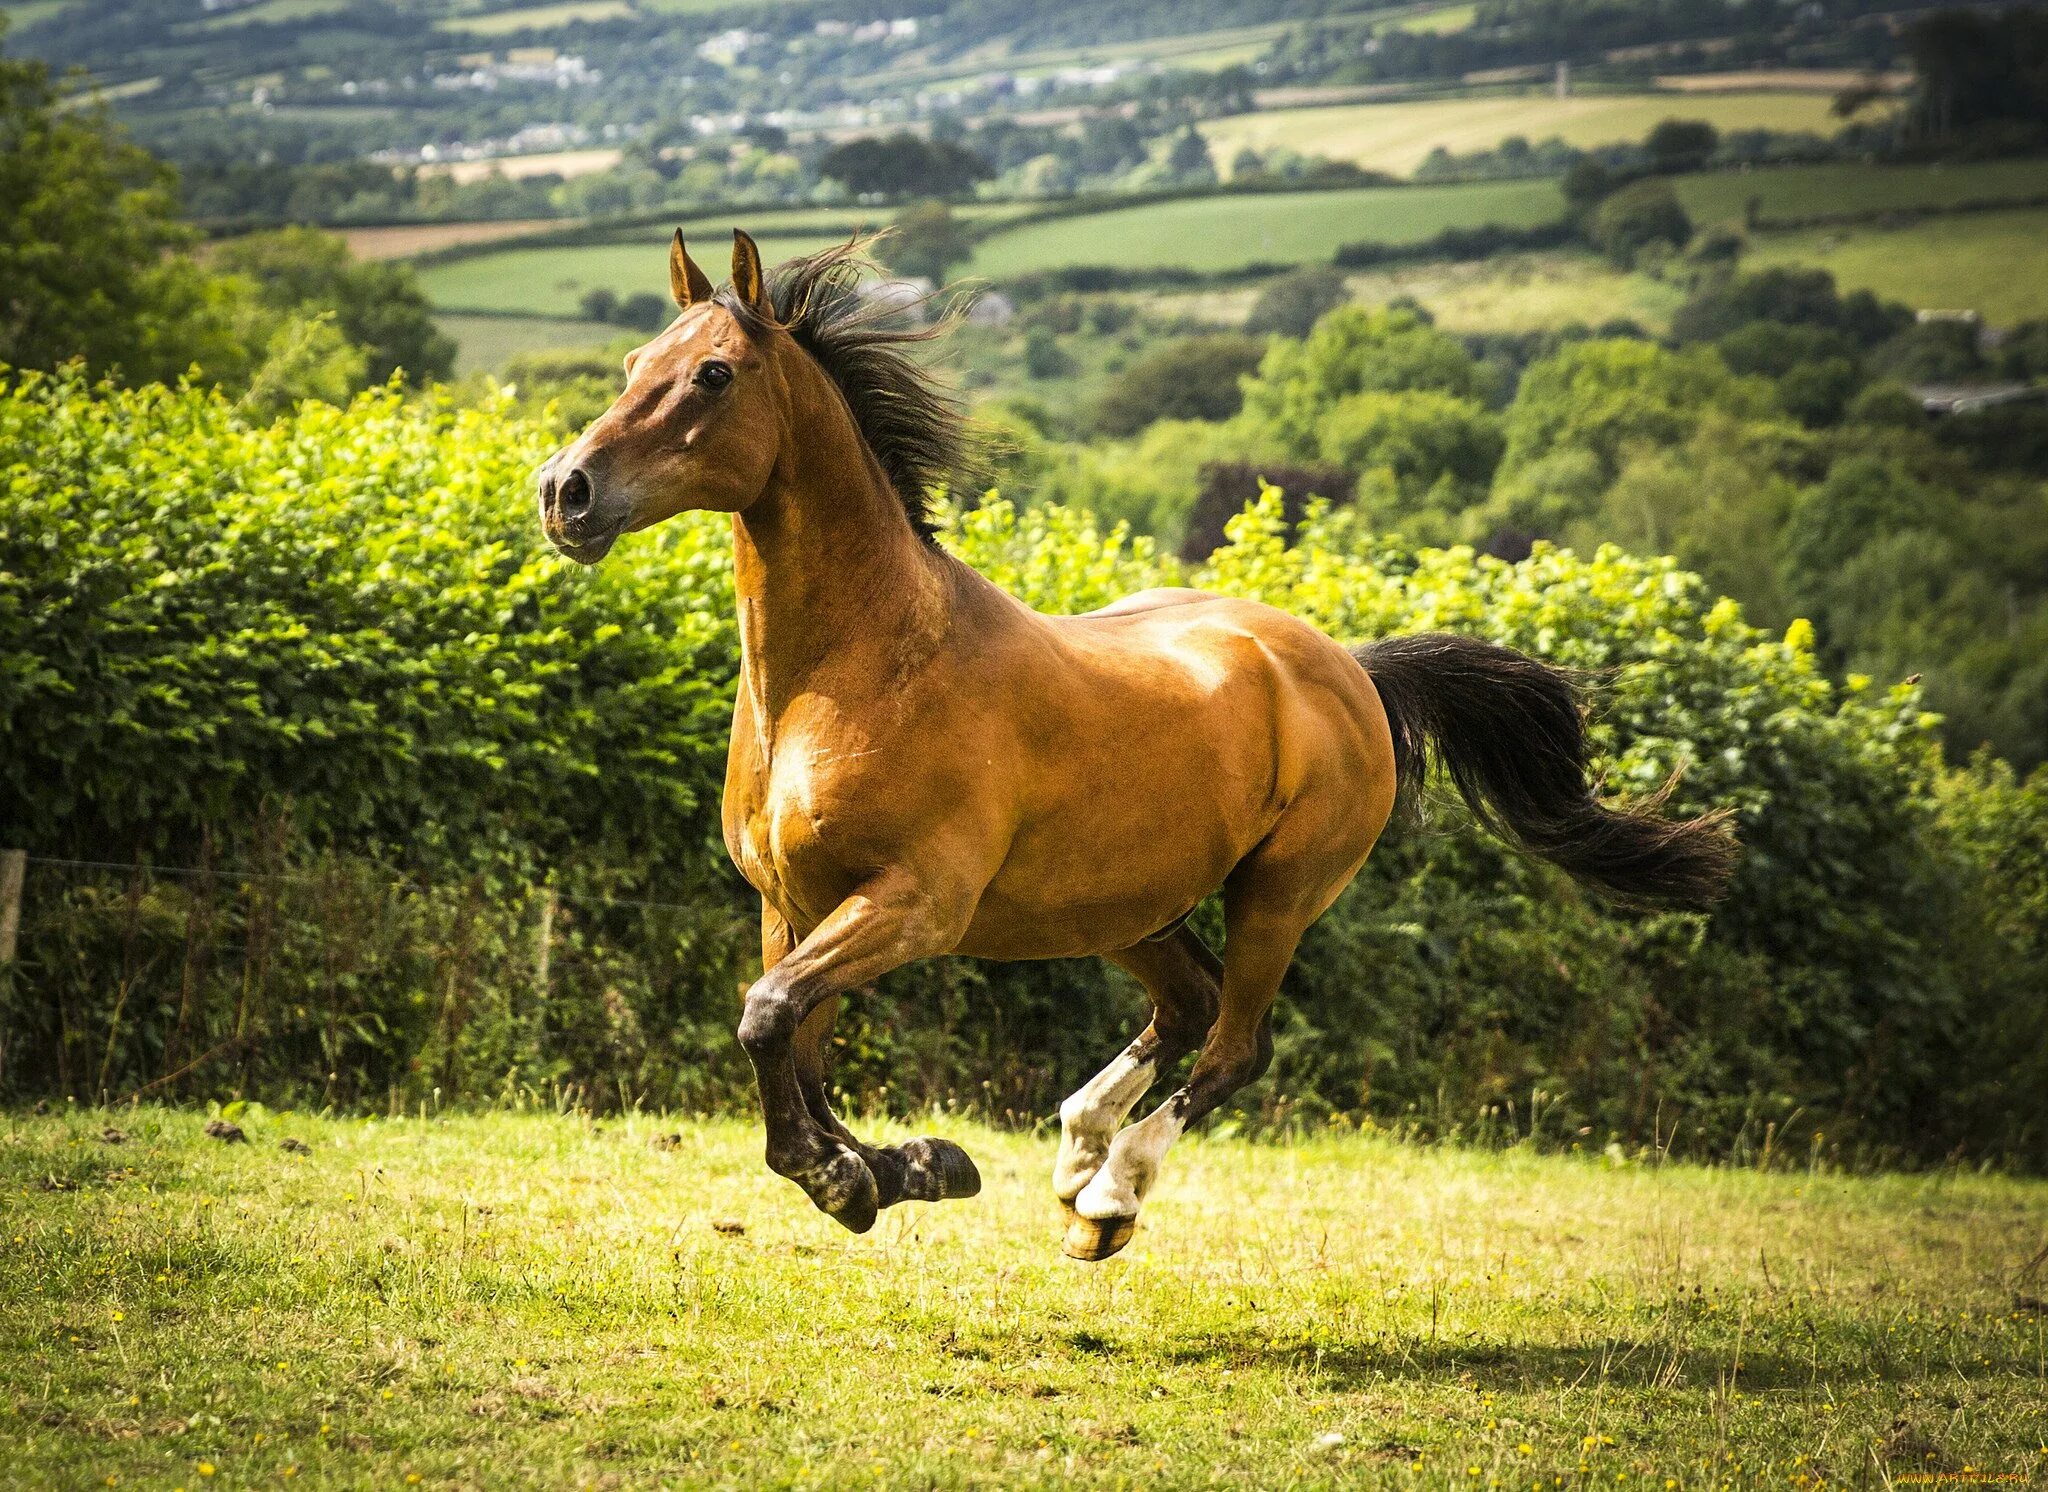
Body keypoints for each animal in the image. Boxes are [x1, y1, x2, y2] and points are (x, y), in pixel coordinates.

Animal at [536, 233, 1736, 1260]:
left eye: (714, 376)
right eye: (635, 361)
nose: (565, 491)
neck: (851, 672)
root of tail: (1346, 667)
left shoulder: (913, 904)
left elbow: (770, 1020)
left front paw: (863, 1177)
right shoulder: (792, 903)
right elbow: (790, 1042)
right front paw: (906, 1166)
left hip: (1277, 895)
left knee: (1235, 1042)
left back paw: (1108, 1195)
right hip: (1125, 905)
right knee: (1188, 1004)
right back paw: (1074, 1149)